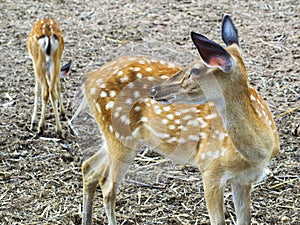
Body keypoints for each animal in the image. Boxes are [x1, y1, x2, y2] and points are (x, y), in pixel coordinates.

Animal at [79, 15, 278, 225]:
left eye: (196, 71)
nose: (155, 90)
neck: (258, 153)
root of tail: (89, 79)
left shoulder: (243, 181)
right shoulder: (210, 169)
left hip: (115, 135)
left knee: (89, 168)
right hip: (121, 136)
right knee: (107, 186)